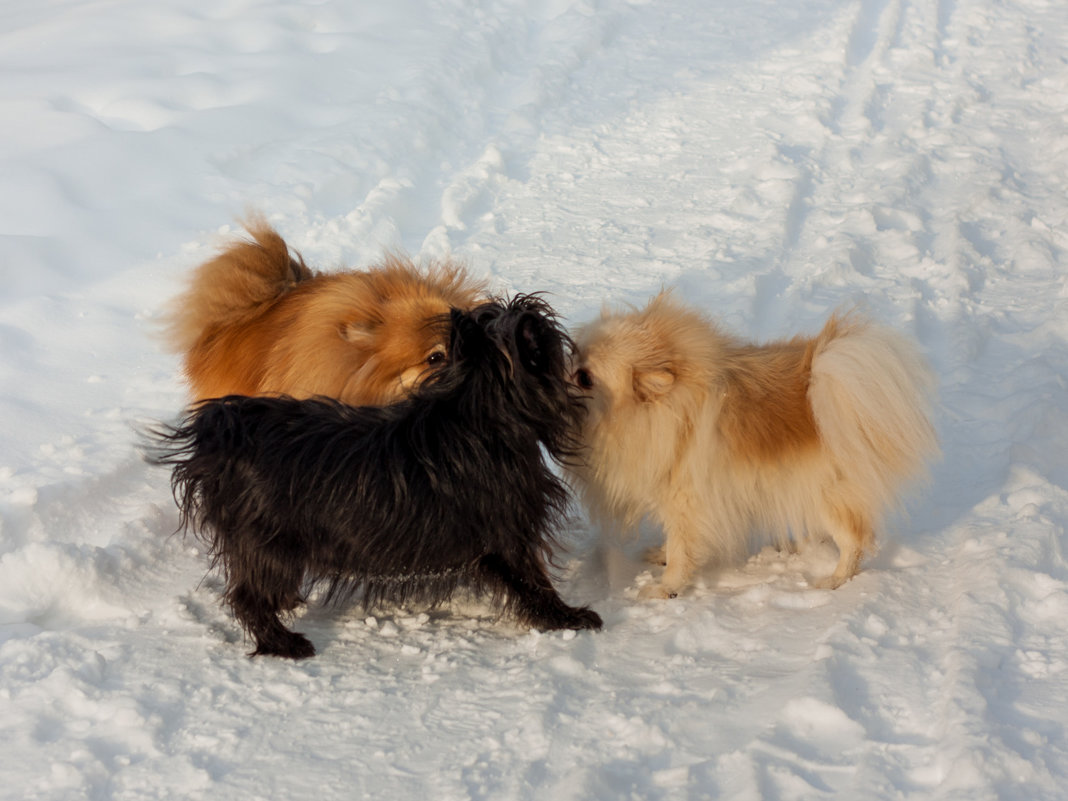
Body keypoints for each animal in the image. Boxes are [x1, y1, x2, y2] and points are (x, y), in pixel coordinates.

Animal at [149, 294, 602, 657]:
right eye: (526, 339)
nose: (530, 309)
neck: (478, 409)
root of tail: (222, 432)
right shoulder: (508, 533)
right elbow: (533, 581)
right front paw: (567, 618)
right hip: (267, 543)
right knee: (247, 597)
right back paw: (284, 643)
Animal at [568, 292, 935, 598]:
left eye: (584, 377)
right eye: (572, 352)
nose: (559, 368)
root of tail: (826, 379)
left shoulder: (687, 501)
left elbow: (682, 549)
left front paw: (666, 588)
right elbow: (673, 541)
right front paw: (660, 555)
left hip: (827, 494)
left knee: (854, 541)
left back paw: (835, 579)